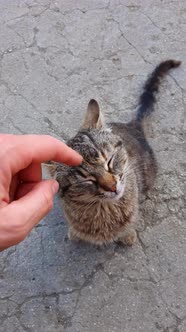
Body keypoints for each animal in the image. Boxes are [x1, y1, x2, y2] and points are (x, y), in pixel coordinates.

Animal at [47, 59, 181, 246]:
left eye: (109, 161)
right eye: (86, 179)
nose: (112, 186)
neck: (103, 209)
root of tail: (133, 125)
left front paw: (128, 235)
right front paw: (75, 233)